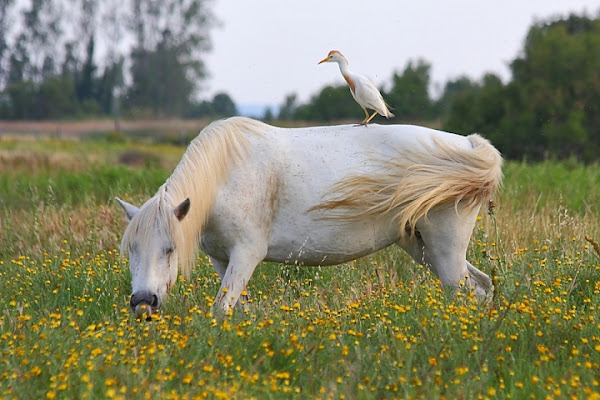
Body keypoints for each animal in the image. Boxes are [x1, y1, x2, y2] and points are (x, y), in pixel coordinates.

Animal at [116, 117, 502, 318]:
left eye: (169, 249)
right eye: (131, 251)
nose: (143, 302)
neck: (224, 175)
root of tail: (467, 144)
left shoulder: (246, 254)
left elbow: (222, 309)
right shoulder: (222, 259)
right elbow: (236, 308)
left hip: (445, 248)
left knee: (464, 291)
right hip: (422, 247)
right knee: (480, 287)